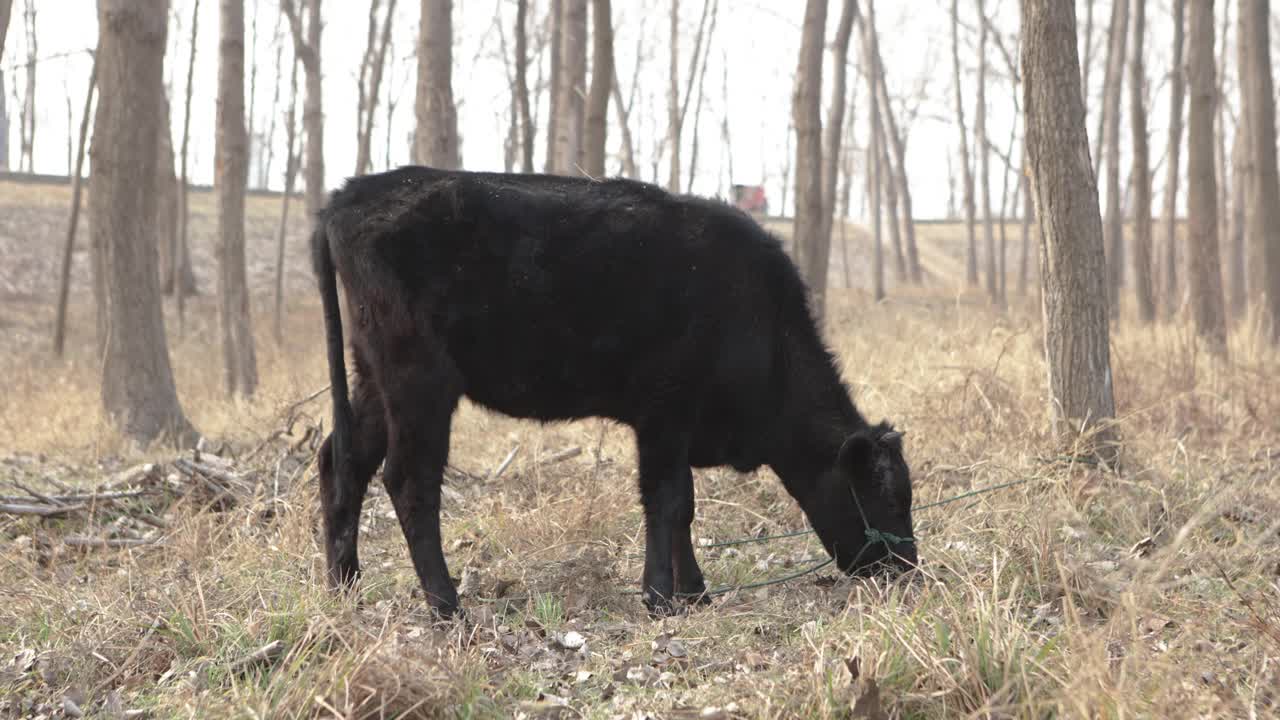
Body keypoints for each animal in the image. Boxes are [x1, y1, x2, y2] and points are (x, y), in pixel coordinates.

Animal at [311, 165, 916, 614]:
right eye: (886, 496)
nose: (907, 567)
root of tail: (351, 194)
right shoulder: (665, 413)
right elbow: (668, 501)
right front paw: (661, 598)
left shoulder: (676, 427)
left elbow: (682, 506)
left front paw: (694, 593)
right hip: (419, 381)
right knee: (408, 481)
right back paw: (445, 606)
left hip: (371, 377)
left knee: (342, 462)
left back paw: (345, 590)